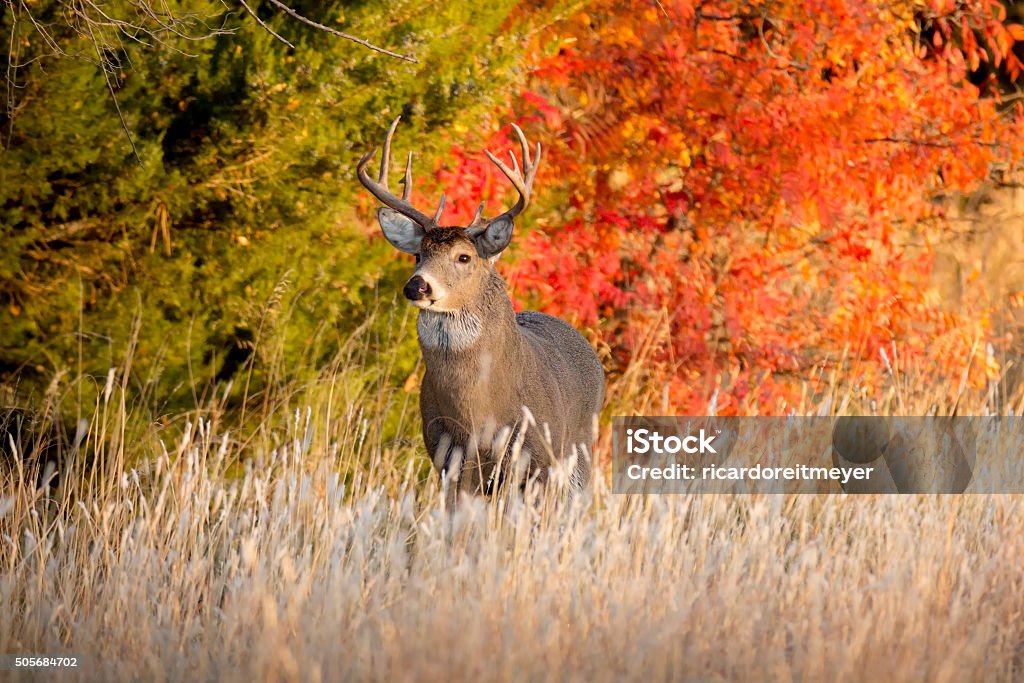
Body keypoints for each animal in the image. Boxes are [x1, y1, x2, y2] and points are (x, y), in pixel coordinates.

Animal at [358, 117, 602, 499]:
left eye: (464, 257)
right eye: (418, 255)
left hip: (579, 454)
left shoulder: (538, 460)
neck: (478, 414)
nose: (417, 285)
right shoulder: (449, 459)